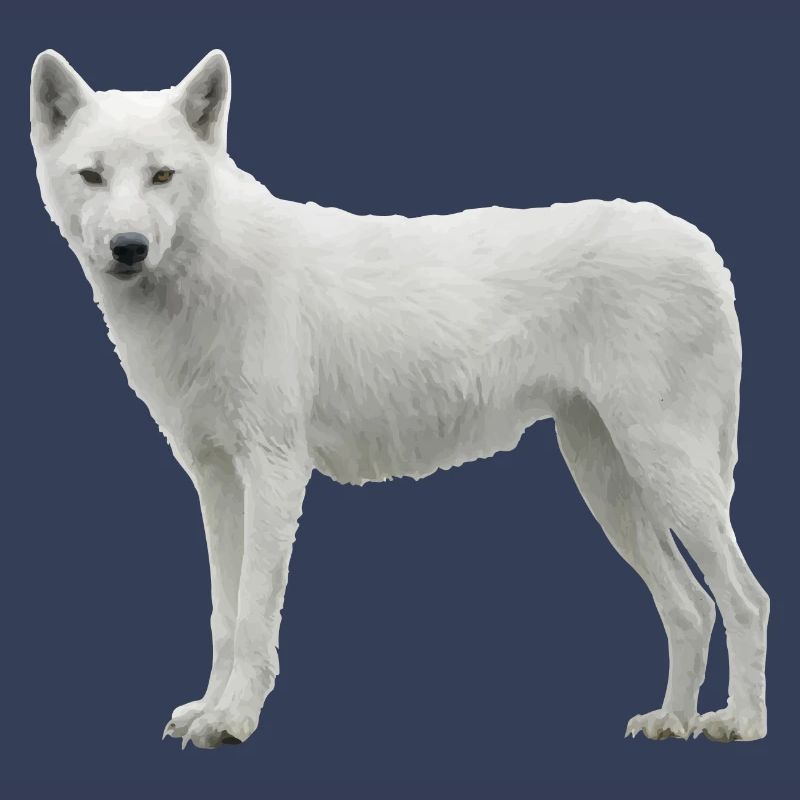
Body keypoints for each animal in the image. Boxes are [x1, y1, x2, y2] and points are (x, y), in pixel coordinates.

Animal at [30, 49, 769, 749]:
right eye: (92, 176)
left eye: (162, 176)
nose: (129, 248)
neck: (206, 277)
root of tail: (701, 246)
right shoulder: (214, 479)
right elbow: (223, 614)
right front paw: (208, 711)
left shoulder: (274, 471)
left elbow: (253, 613)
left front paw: (234, 720)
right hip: (609, 482)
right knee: (691, 607)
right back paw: (672, 720)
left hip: (665, 472)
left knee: (745, 599)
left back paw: (739, 722)